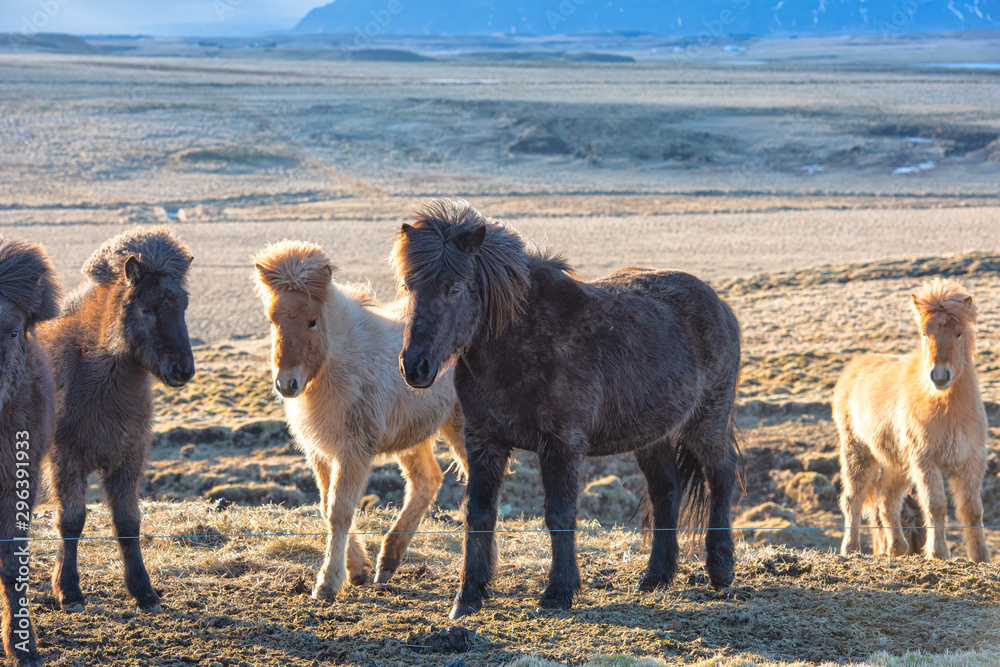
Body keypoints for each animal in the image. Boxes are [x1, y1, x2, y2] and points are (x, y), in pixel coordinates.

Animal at [37, 231, 194, 616]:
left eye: (182, 306)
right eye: (147, 308)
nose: (182, 370)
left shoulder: (127, 461)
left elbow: (128, 522)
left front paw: (143, 590)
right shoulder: (66, 461)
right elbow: (71, 521)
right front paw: (68, 590)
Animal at [252, 240, 466, 600]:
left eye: (312, 321)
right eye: (271, 320)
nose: (286, 384)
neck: (342, 363)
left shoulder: (353, 451)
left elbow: (340, 511)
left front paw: (327, 582)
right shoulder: (321, 452)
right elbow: (327, 507)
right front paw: (357, 569)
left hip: (463, 428)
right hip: (413, 437)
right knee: (427, 480)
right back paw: (387, 561)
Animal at [394, 201, 748, 620]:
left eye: (455, 288)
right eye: (409, 286)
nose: (415, 366)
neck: (519, 342)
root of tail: (719, 304)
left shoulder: (561, 444)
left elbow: (559, 514)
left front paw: (559, 591)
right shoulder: (484, 440)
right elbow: (478, 512)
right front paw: (468, 595)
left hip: (706, 420)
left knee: (720, 475)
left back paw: (720, 568)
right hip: (652, 435)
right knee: (667, 491)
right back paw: (656, 576)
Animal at [836, 278, 992, 564]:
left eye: (958, 333)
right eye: (924, 333)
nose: (939, 376)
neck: (946, 407)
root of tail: (854, 369)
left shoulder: (970, 461)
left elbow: (972, 509)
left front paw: (980, 557)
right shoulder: (925, 461)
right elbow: (935, 505)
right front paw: (938, 553)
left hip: (898, 464)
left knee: (886, 499)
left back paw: (897, 549)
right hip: (857, 452)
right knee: (854, 498)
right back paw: (850, 549)